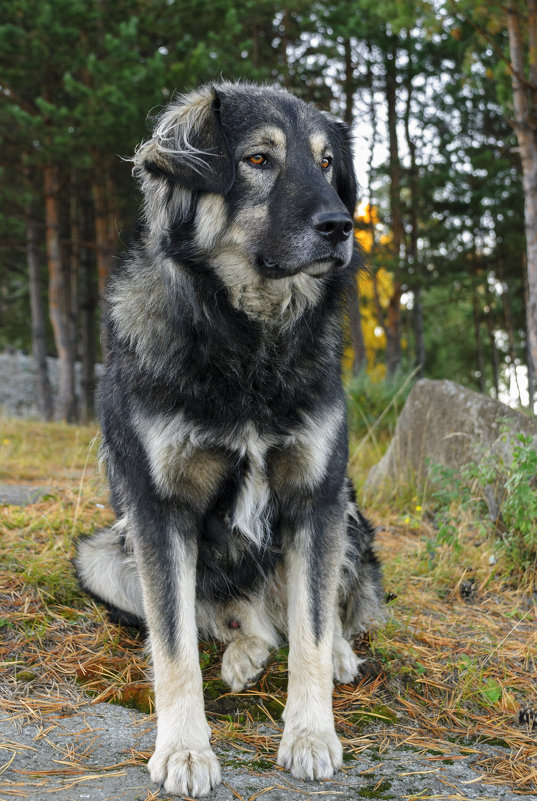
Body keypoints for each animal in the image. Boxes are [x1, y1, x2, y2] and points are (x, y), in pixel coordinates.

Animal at [77, 84, 384, 796]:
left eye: (327, 163)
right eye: (259, 159)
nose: (340, 227)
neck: (249, 350)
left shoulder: (316, 498)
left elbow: (312, 631)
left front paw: (311, 735)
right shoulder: (159, 511)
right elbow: (174, 649)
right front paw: (185, 750)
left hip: (351, 517)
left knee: (320, 614)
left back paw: (336, 655)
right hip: (103, 556)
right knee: (235, 621)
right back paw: (244, 647)